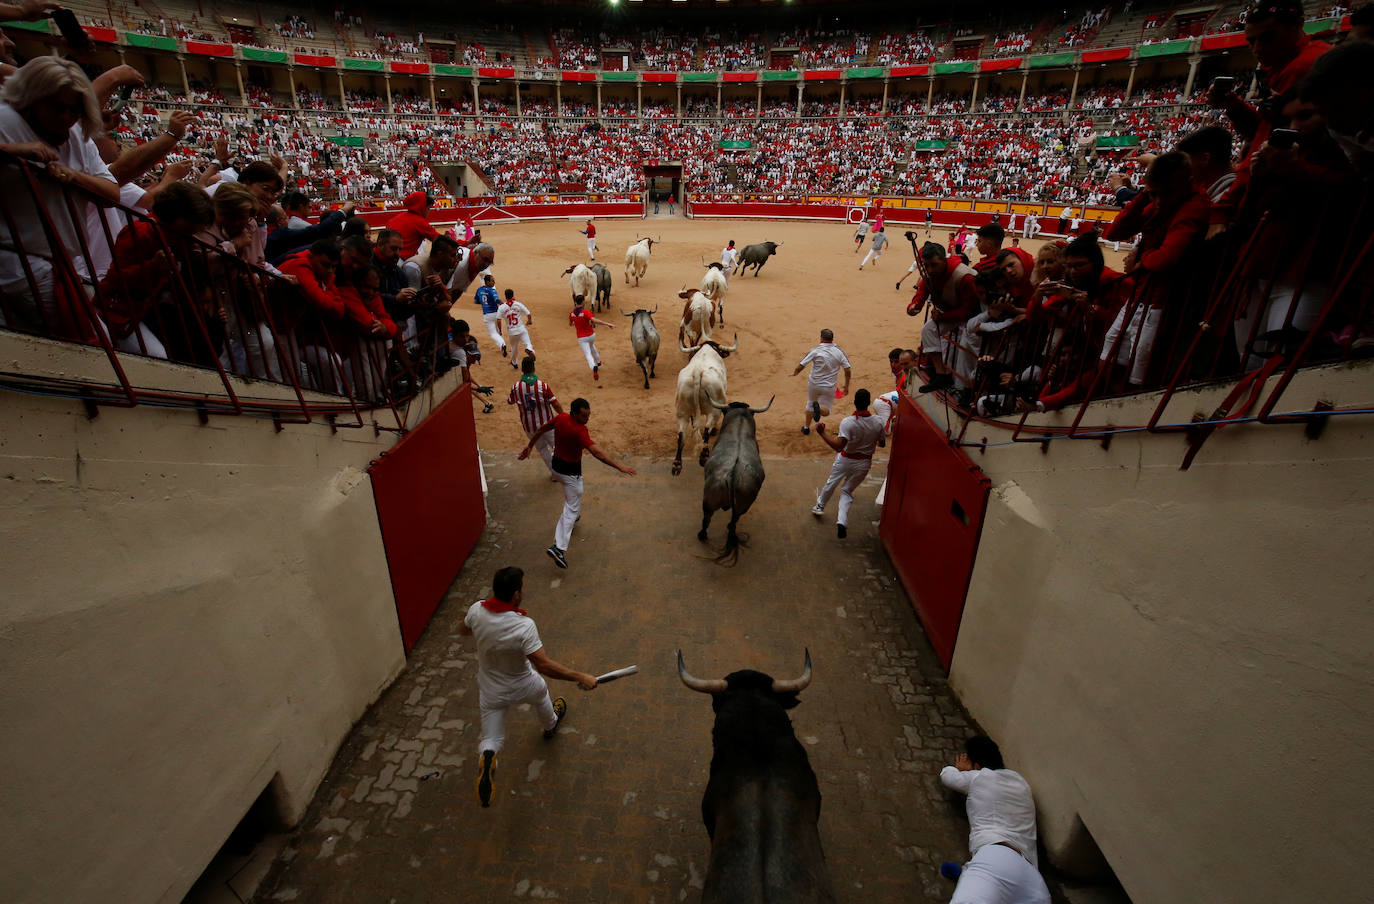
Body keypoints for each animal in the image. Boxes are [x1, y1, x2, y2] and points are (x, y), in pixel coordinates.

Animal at [670, 333, 736, 475]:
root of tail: (697, 374)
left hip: (682, 410)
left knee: (681, 435)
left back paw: (677, 464)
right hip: (714, 410)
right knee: (706, 430)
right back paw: (704, 457)